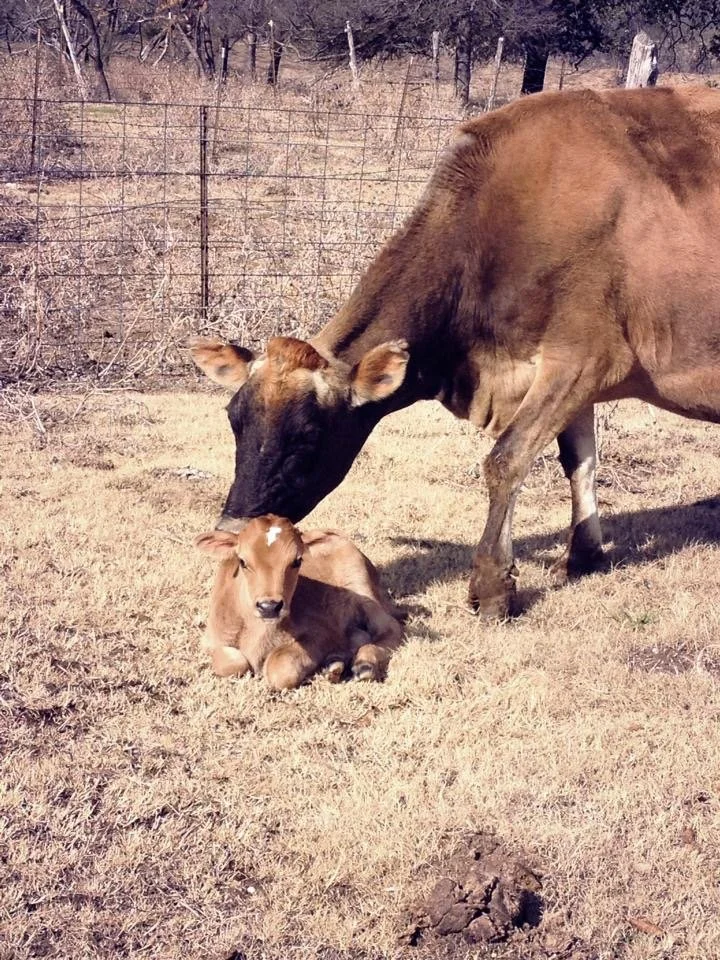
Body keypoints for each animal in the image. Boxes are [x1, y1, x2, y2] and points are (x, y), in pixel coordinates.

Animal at [191, 86, 720, 620]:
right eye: (234, 419)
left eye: (307, 435)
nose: (232, 533)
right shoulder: (574, 371)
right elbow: (580, 462)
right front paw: (583, 556)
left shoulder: (586, 357)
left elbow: (506, 460)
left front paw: (492, 586)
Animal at [195, 514, 404, 689]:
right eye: (242, 561)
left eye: (297, 561)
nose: (269, 607)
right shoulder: (210, 639)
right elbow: (233, 663)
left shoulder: (324, 631)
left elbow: (279, 667)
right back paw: (334, 664)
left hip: (362, 588)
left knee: (389, 628)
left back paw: (364, 664)